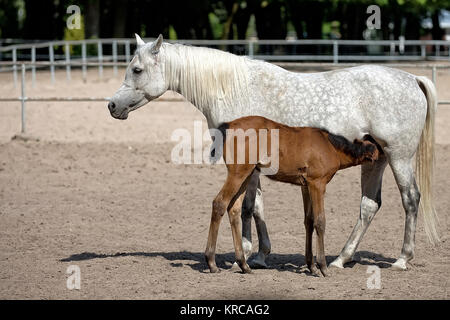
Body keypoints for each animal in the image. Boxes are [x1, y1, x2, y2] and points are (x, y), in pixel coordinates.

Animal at [205, 116, 380, 276]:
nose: (382, 158)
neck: (330, 145)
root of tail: (228, 125)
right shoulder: (318, 184)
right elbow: (320, 221)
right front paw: (322, 267)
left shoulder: (306, 186)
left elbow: (309, 221)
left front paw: (312, 266)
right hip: (238, 174)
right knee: (219, 203)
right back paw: (212, 262)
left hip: (246, 175)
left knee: (233, 209)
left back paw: (243, 264)